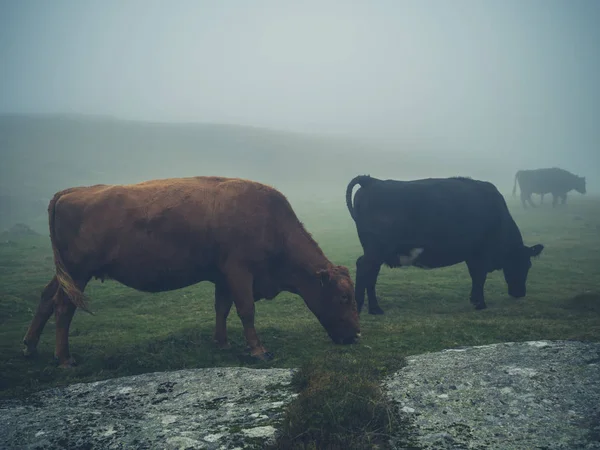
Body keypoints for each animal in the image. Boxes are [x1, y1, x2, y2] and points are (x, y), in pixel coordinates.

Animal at [22, 174, 360, 368]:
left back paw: (30, 347)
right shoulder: (240, 272)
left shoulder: (223, 276)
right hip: (78, 273)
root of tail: (70, 192)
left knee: (46, 298)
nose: (356, 336)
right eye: (344, 297)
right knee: (63, 307)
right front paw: (258, 350)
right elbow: (246, 310)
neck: (270, 222)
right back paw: (64, 359)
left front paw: (222, 342)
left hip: (67, 275)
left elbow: (222, 308)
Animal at [344, 174, 548, 314]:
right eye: (525, 264)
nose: (520, 293)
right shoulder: (481, 253)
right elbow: (479, 276)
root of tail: (371, 181)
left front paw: (475, 300)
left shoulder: (472, 255)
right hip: (376, 250)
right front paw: (480, 304)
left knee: (370, 274)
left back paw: (372, 309)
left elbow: (475, 276)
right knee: (364, 268)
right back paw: (366, 308)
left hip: (377, 252)